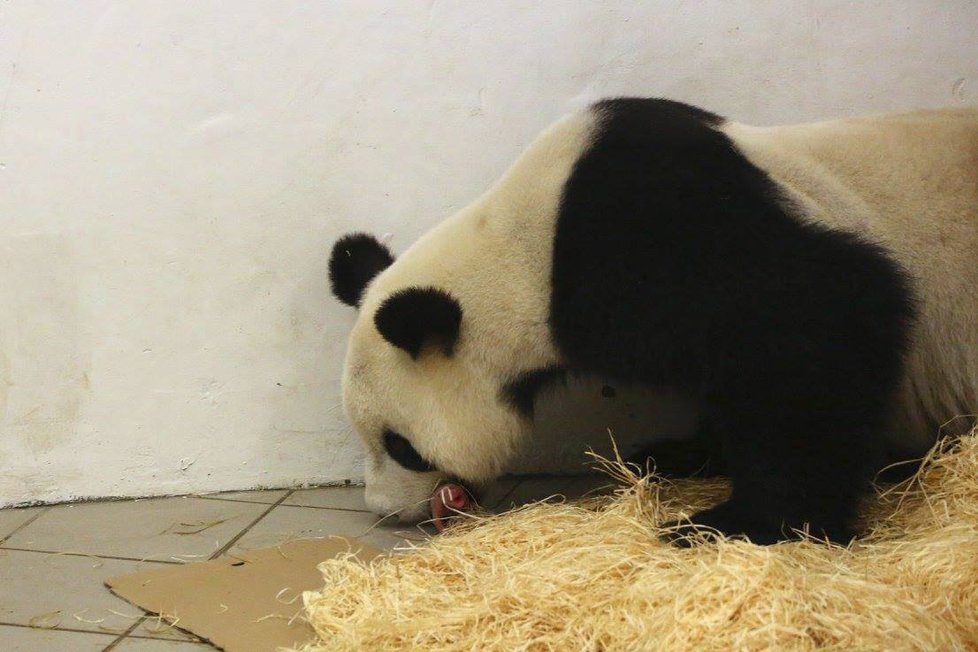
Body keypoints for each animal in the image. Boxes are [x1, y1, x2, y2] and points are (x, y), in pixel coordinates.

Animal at [330, 98, 976, 544]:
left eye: (403, 447)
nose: (386, 510)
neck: (526, 252)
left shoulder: (659, 230)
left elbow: (822, 319)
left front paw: (741, 522)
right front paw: (678, 454)